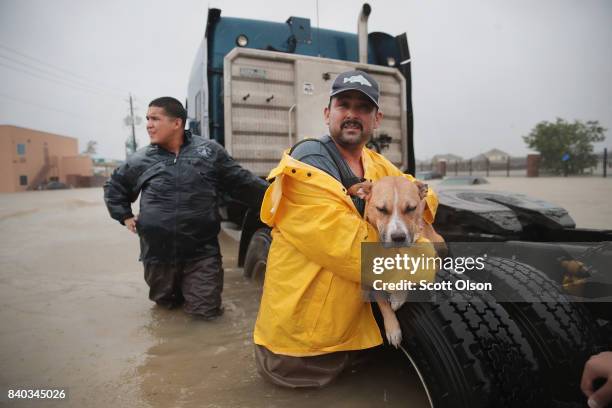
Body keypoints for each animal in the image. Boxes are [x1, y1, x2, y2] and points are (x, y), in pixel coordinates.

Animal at [350, 175, 444, 348]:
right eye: (381, 209)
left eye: (411, 208)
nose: (398, 237)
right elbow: (382, 302)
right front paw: (393, 330)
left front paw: (398, 296)